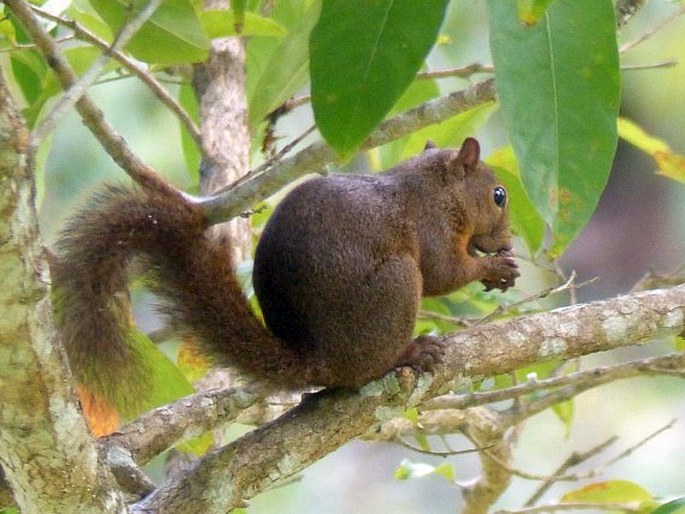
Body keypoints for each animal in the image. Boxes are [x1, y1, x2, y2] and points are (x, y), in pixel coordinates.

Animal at [50, 137, 520, 408]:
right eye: (499, 195)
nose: (507, 239)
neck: (437, 187)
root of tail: (318, 361)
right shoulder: (430, 224)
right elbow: (443, 273)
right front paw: (493, 265)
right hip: (396, 286)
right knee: (368, 368)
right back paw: (410, 352)